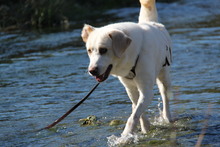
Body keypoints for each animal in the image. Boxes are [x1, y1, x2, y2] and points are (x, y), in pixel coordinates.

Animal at [81, 0, 173, 137]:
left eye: (103, 50)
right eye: (89, 51)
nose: (92, 71)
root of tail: (152, 22)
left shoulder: (147, 91)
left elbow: (133, 116)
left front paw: (126, 135)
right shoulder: (130, 89)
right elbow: (137, 110)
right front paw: (145, 127)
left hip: (164, 75)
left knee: (165, 96)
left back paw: (167, 118)